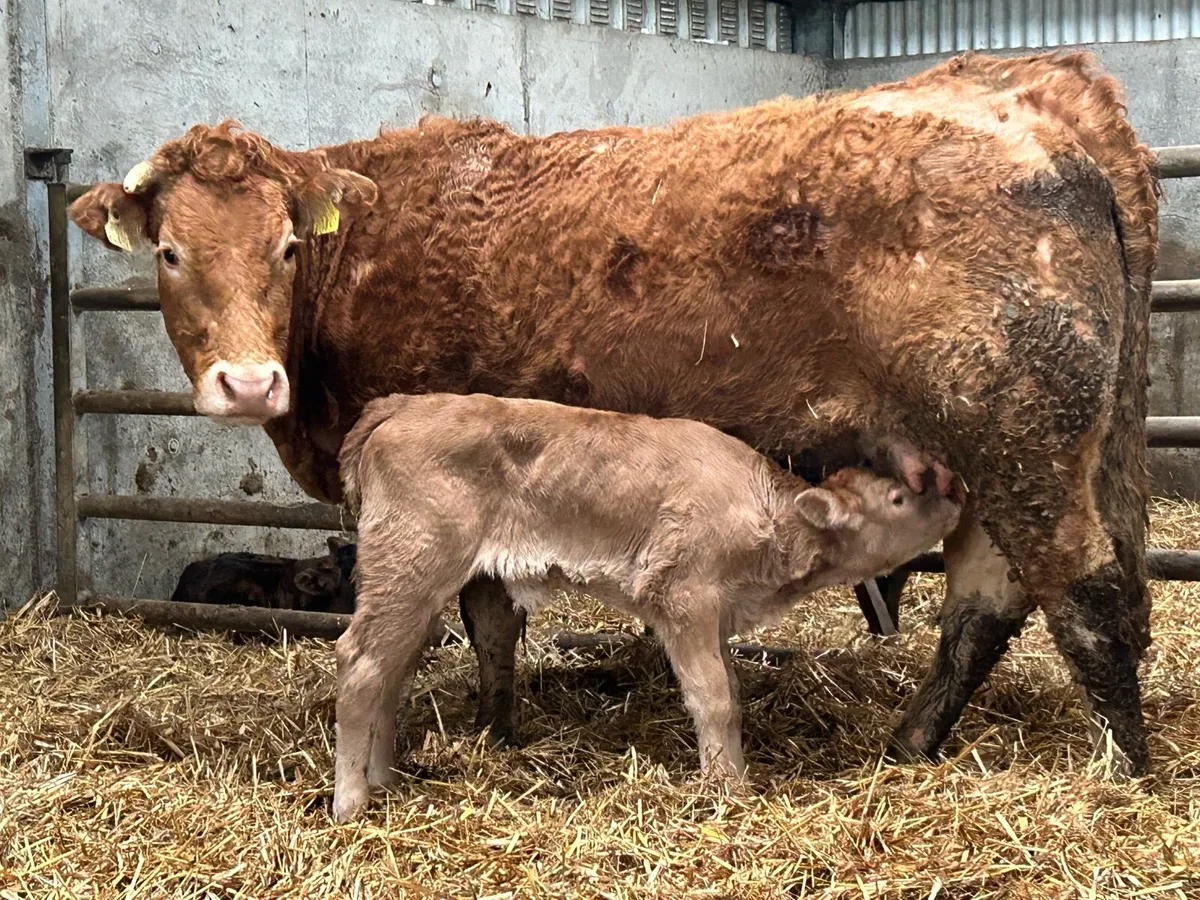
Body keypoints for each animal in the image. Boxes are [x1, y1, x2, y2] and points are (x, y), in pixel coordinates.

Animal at [67, 50, 1159, 774]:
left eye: (287, 246)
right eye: (170, 250)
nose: (249, 383)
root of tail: (1046, 103)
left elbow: (485, 614)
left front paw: (490, 731)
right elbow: (493, 616)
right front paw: (499, 727)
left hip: (1020, 437)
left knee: (1090, 597)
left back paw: (1124, 773)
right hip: (989, 457)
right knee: (987, 604)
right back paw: (909, 745)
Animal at [333, 393, 962, 821]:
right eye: (899, 496)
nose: (956, 491)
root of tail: (404, 405)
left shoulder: (718, 613)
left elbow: (731, 690)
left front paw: (734, 775)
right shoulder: (683, 597)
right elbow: (713, 696)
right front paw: (728, 789)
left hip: (414, 584)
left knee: (391, 670)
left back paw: (383, 779)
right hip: (411, 565)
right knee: (359, 664)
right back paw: (351, 801)